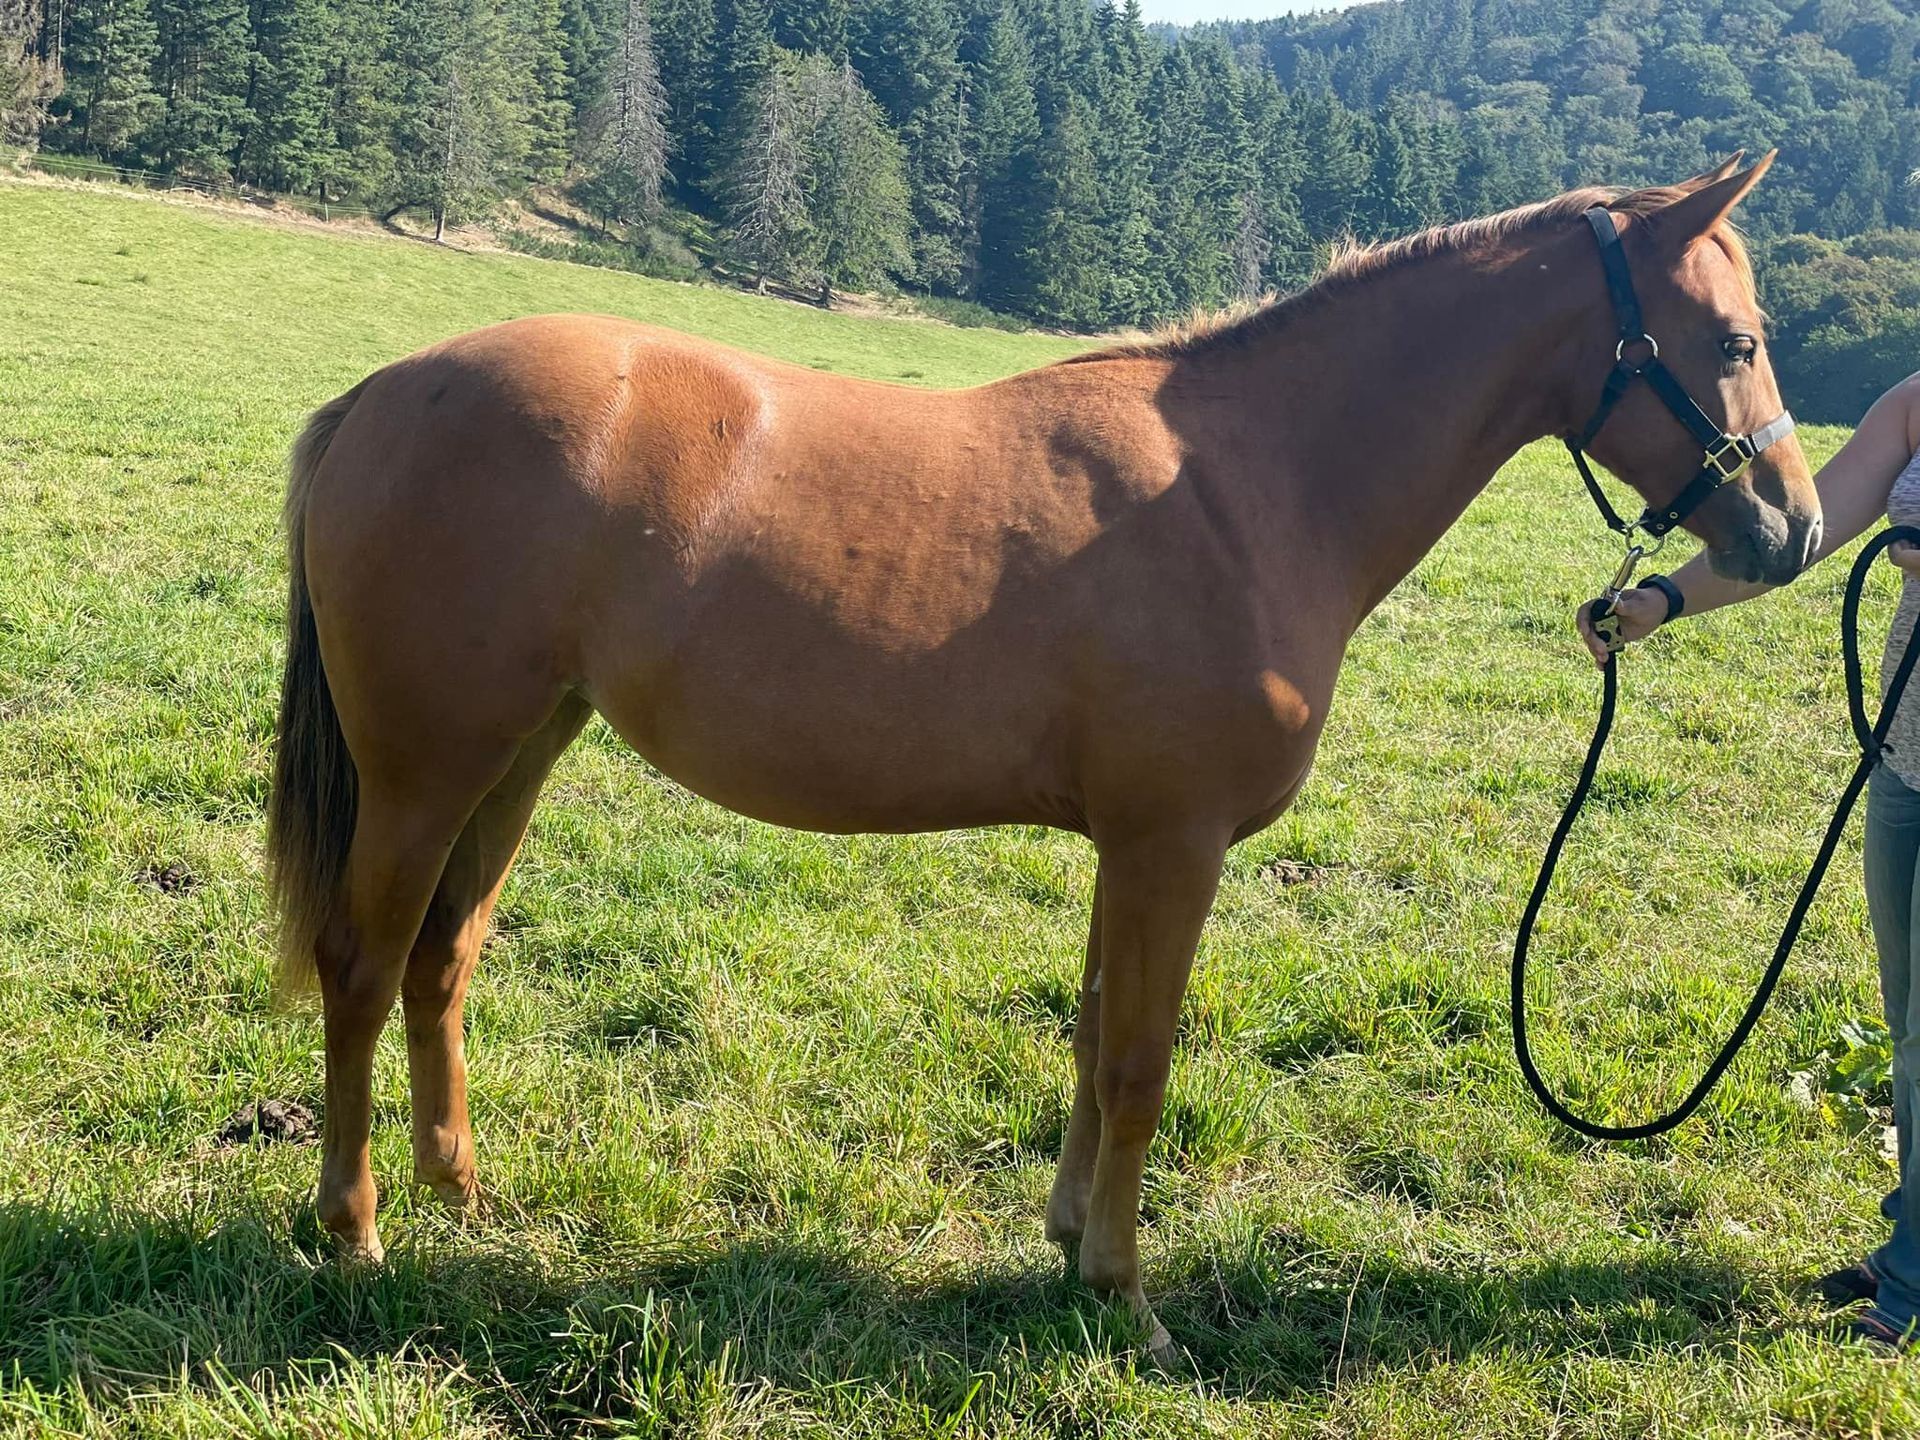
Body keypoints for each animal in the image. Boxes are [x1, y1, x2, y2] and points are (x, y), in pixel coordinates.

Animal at [268, 154, 1819, 1355]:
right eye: (1736, 342)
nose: (1794, 532)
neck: (1253, 486)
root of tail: (380, 394)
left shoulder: (1123, 845)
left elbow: (1087, 1036)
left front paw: (1071, 1240)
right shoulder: (1171, 845)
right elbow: (1137, 1058)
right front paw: (1124, 1295)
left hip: (521, 749)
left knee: (442, 959)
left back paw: (460, 1194)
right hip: (426, 766)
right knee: (362, 963)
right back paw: (355, 1230)